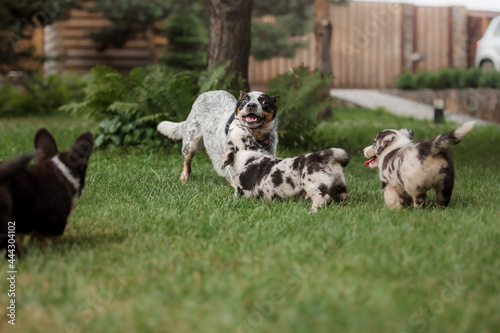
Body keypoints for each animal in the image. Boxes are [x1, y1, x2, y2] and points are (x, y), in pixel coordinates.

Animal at [221, 119, 350, 213]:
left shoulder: (241, 191)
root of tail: (325, 155)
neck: (249, 153)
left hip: (314, 185)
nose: (236, 119)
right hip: (340, 186)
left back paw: (312, 212)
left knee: (322, 198)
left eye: (231, 130)